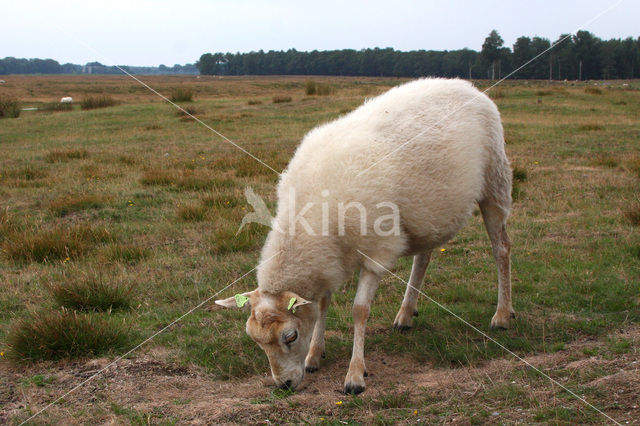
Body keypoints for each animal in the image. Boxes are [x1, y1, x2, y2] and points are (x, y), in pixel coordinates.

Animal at [216, 78, 516, 394]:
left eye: (291, 336)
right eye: (256, 341)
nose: (283, 384)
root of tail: (467, 86)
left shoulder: (377, 252)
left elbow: (359, 310)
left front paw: (355, 375)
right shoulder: (329, 258)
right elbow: (322, 305)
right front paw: (314, 355)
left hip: (495, 181)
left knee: (502, 249)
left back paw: (502, 315)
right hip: (429, 212)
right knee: (424, 257)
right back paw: (406, 314)